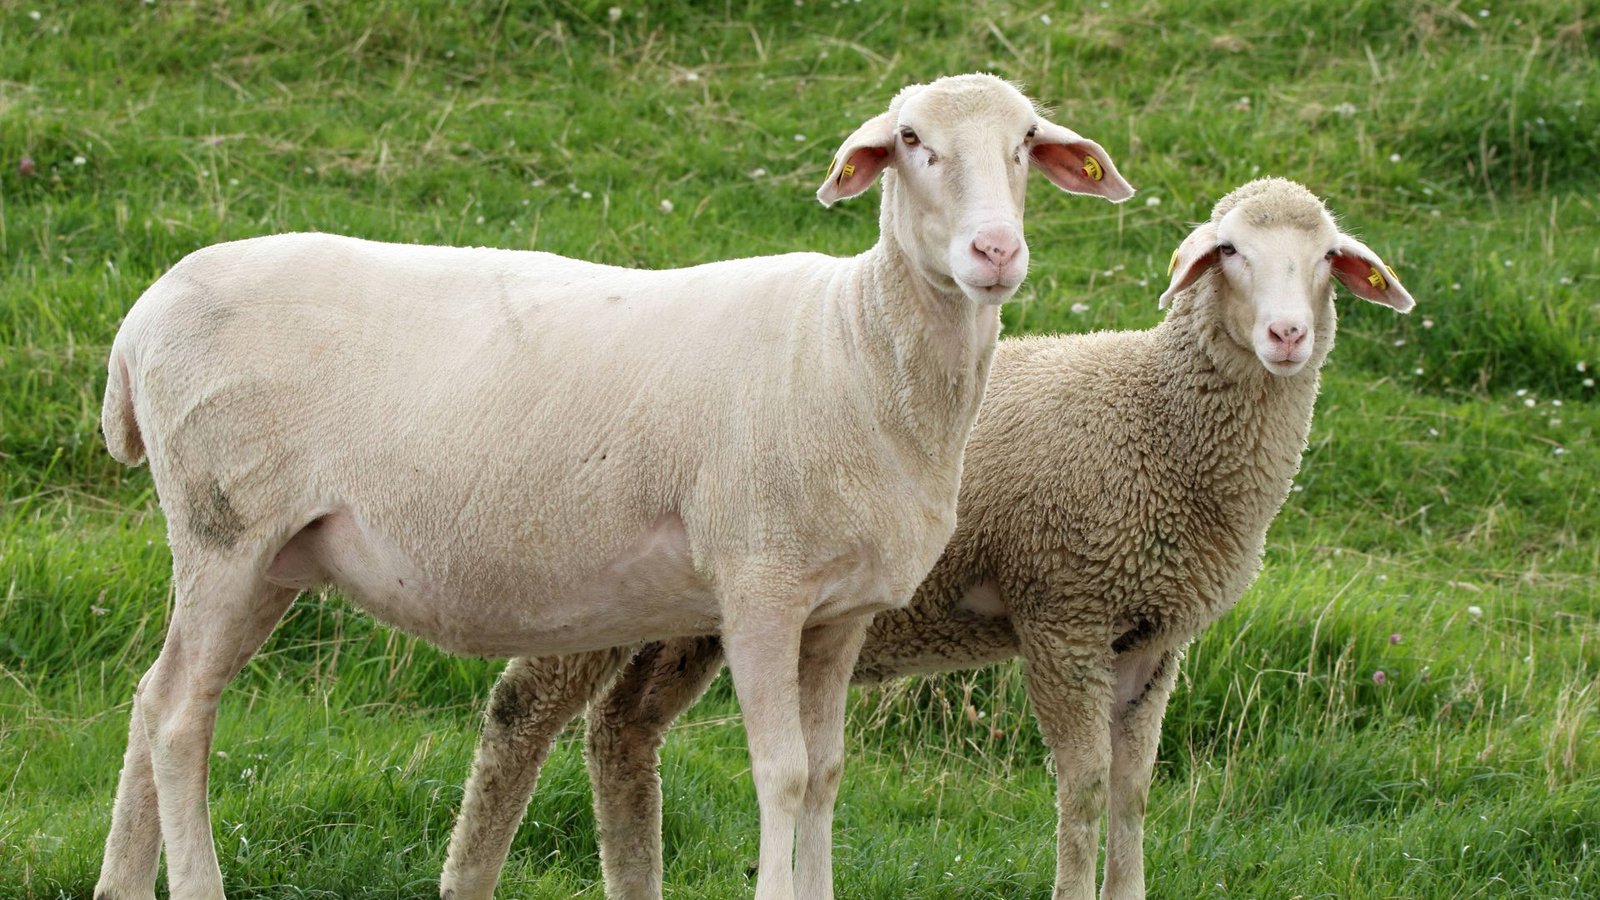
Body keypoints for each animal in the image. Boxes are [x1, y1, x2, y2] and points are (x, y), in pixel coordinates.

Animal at [92, 72, 1135, 900]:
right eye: (912, 141)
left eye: (1025, 143)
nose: (995, 253)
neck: (855, 344)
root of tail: (141, 318)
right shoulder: (758, 586)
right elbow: (783, 773)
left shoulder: (841, 612)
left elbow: (830, 773)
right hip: (227, 526)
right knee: (181, 717)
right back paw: (196, 886)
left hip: (267, 553)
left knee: (153, 697)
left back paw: (121, 884)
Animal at [442, 178, 1416, 900]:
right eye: (1231, 252)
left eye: (1328, 260)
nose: (1288, 336)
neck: (1153, 413)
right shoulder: (1063, 616)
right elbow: (1085, 789)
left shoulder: (1151, 638)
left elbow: (1134, 792)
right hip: (582, 572)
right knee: (522, 714)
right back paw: (470, 871)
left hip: (684, 617)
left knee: (620, 732)